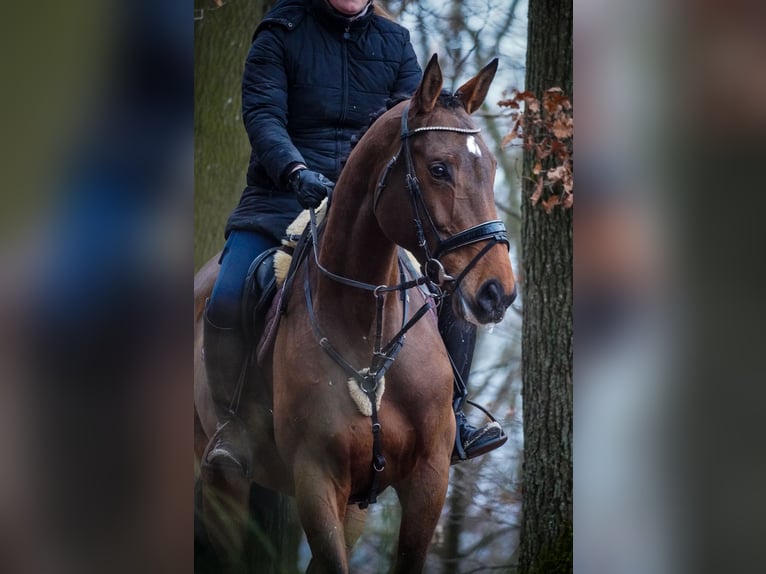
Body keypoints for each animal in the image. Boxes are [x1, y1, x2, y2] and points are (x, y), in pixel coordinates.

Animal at [194, 54, 517, 573]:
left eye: (487, 167)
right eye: (439, 169)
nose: (497, 293)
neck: (369, 328)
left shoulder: (425, 478)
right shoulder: (317, 480)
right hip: (223, 482)